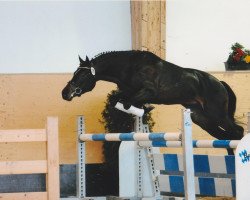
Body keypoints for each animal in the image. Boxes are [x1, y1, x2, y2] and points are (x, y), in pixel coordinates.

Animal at [61, 50, 243, 154]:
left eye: (83, 75)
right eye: (75, 73)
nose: (64, 93)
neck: (129, 67)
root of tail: (220, 83)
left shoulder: (149, 92)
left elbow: (127, 102)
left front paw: (144, 109)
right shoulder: (127, 92)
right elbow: (117, 100)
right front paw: (142, 110)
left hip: (217, 114)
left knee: (237, 132)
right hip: (200, 118)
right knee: (223, 137)